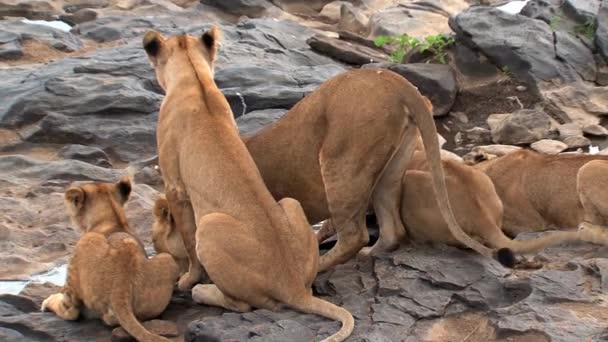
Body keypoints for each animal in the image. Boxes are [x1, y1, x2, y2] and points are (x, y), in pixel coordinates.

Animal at [39, 179, 178, 342]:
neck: (113, 219)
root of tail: (120, 291)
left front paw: (47, 300)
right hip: (168, 259)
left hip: (87, 244)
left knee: (72, 313)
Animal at [144, 28, 356, 340]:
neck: (194, 78)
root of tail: (292, 286)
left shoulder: (175, 187)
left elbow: (189, 245)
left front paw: (186, 280)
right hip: (290, 204)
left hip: (210, 226)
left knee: (243, 304)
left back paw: (203, 291)